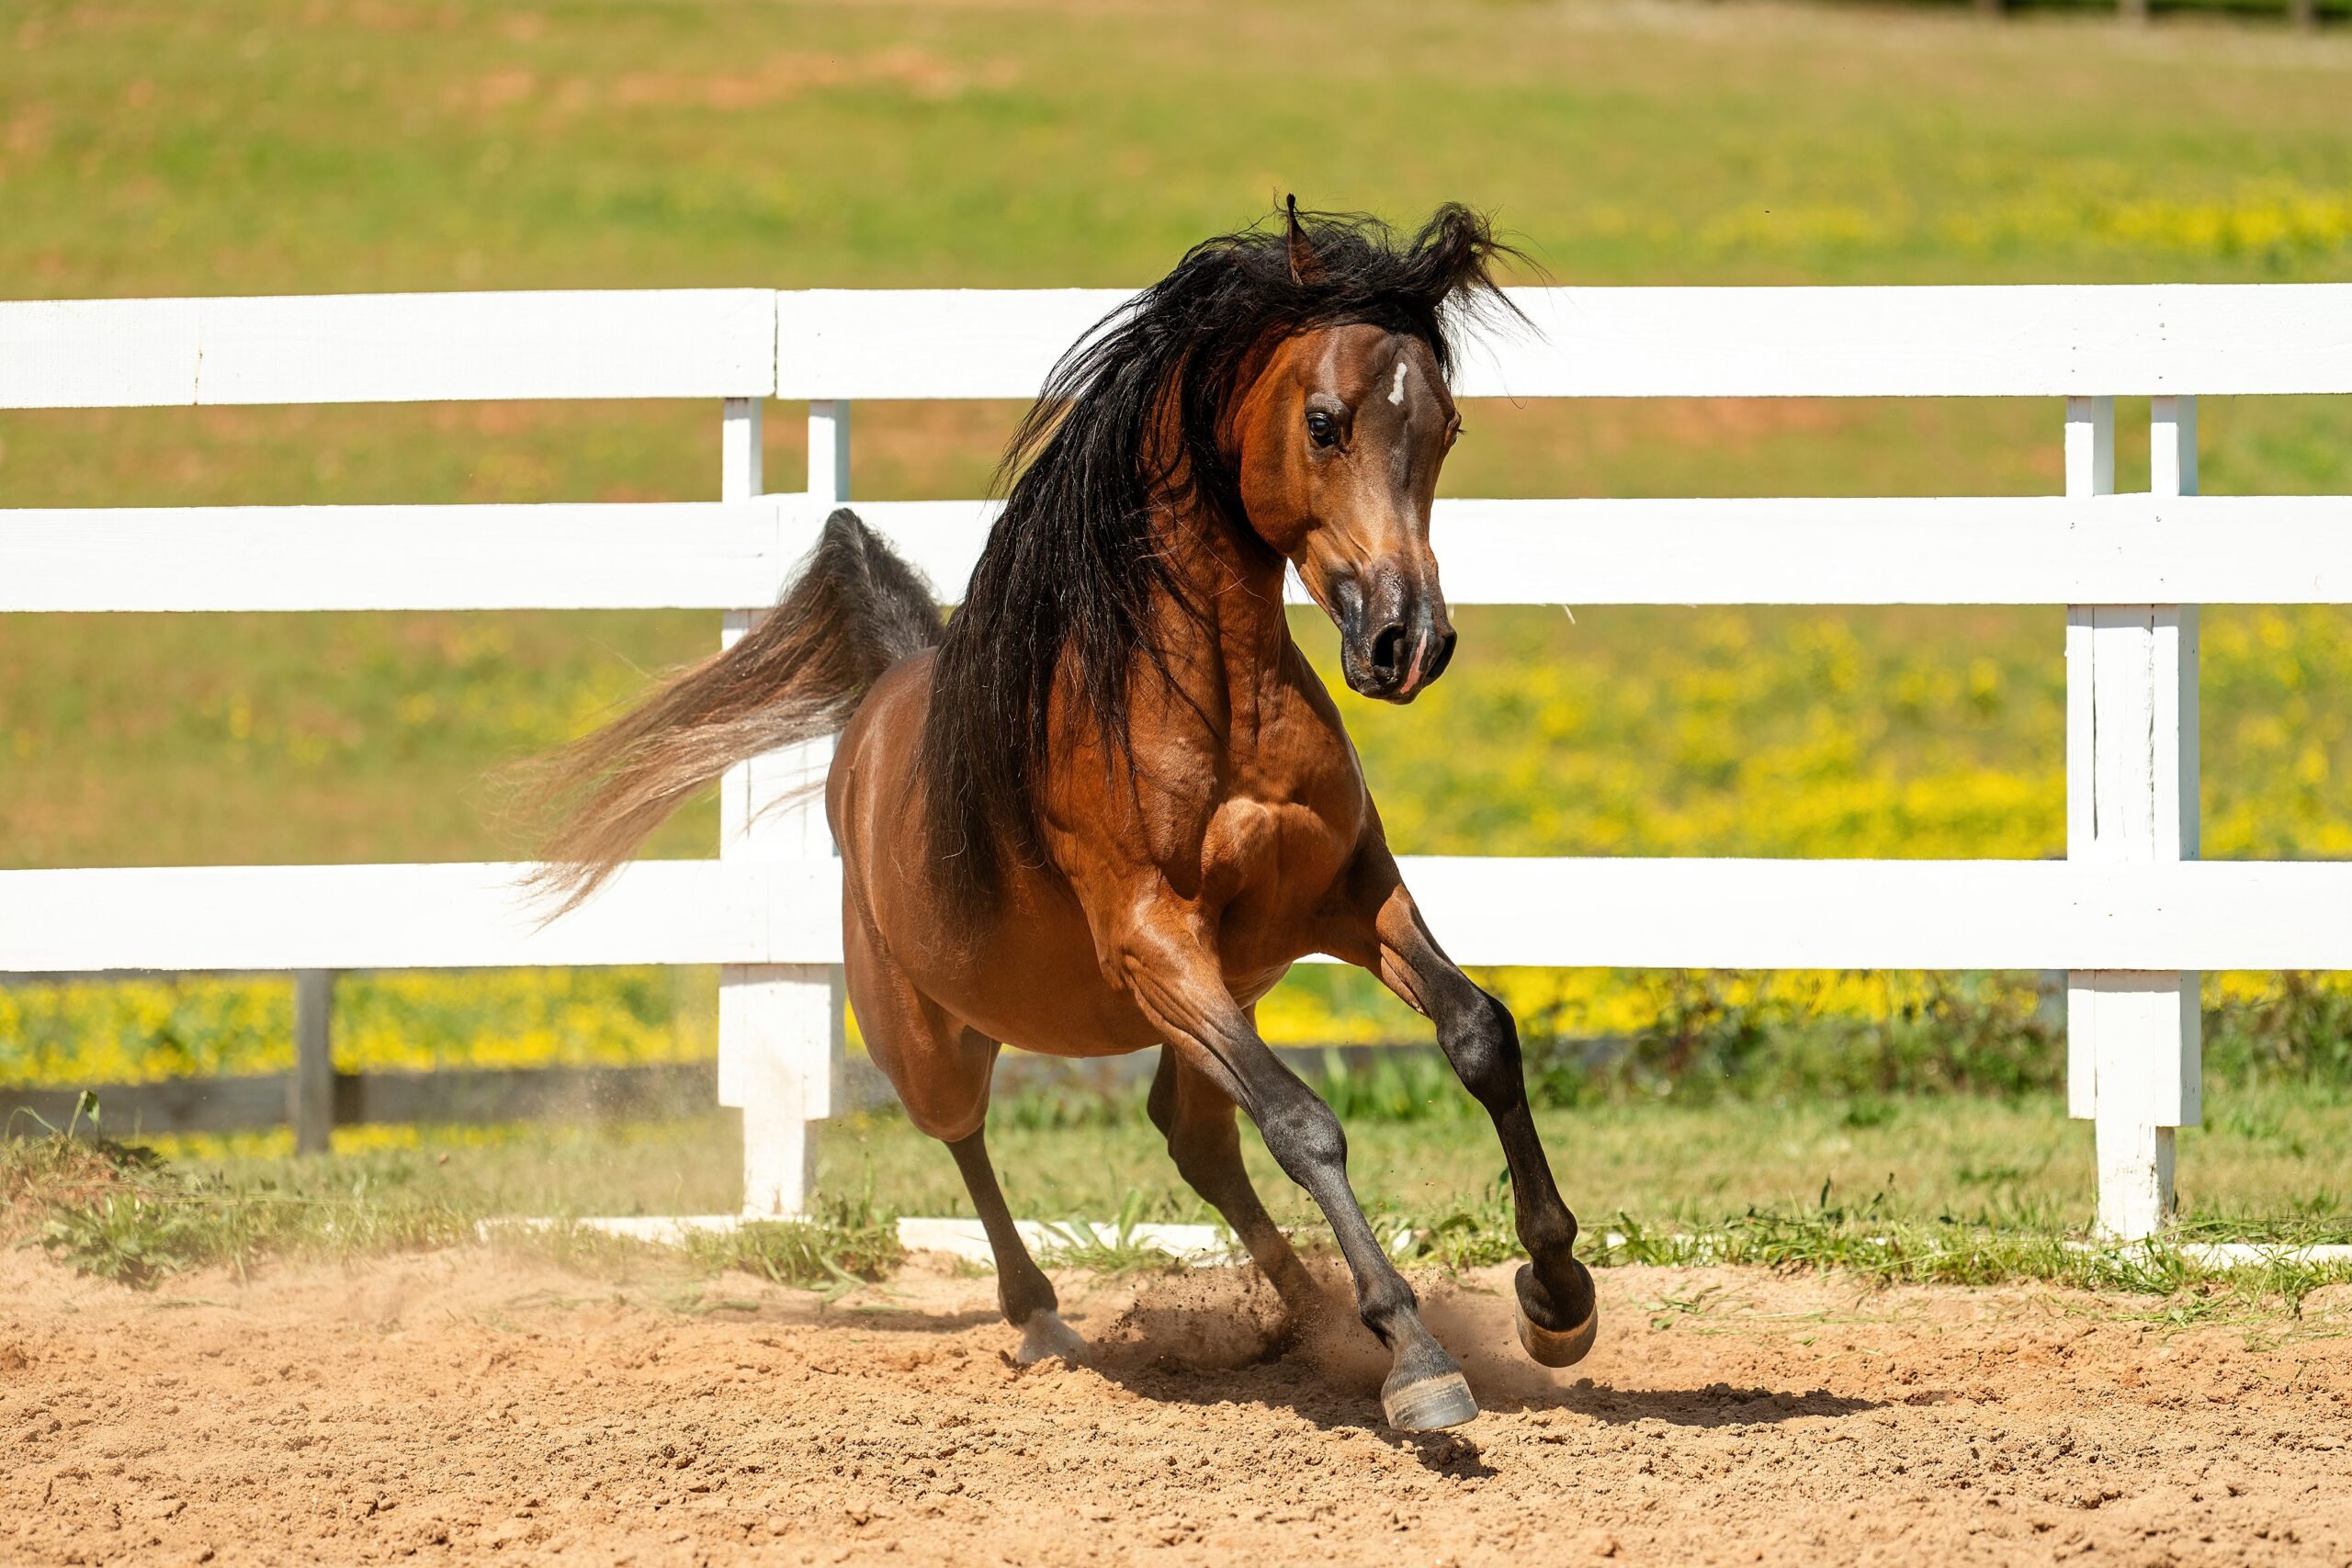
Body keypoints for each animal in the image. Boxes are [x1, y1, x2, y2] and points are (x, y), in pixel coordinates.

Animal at [532, 200, 1597, 1432]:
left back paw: (1313, 1315)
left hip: (1217, 998)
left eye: (1445, 427)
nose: (1406, 641)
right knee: (972, 1139)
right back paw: (1048, 1318)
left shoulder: (1347, 896)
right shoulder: (1151, 944)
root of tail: (883, 699)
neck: (1211, 701)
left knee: (1194, 1141)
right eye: (1325, 423)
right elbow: (1304, 1122)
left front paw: (1557, 1297)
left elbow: (1479, 1035)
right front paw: (1419, 1360)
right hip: (935, 1039)